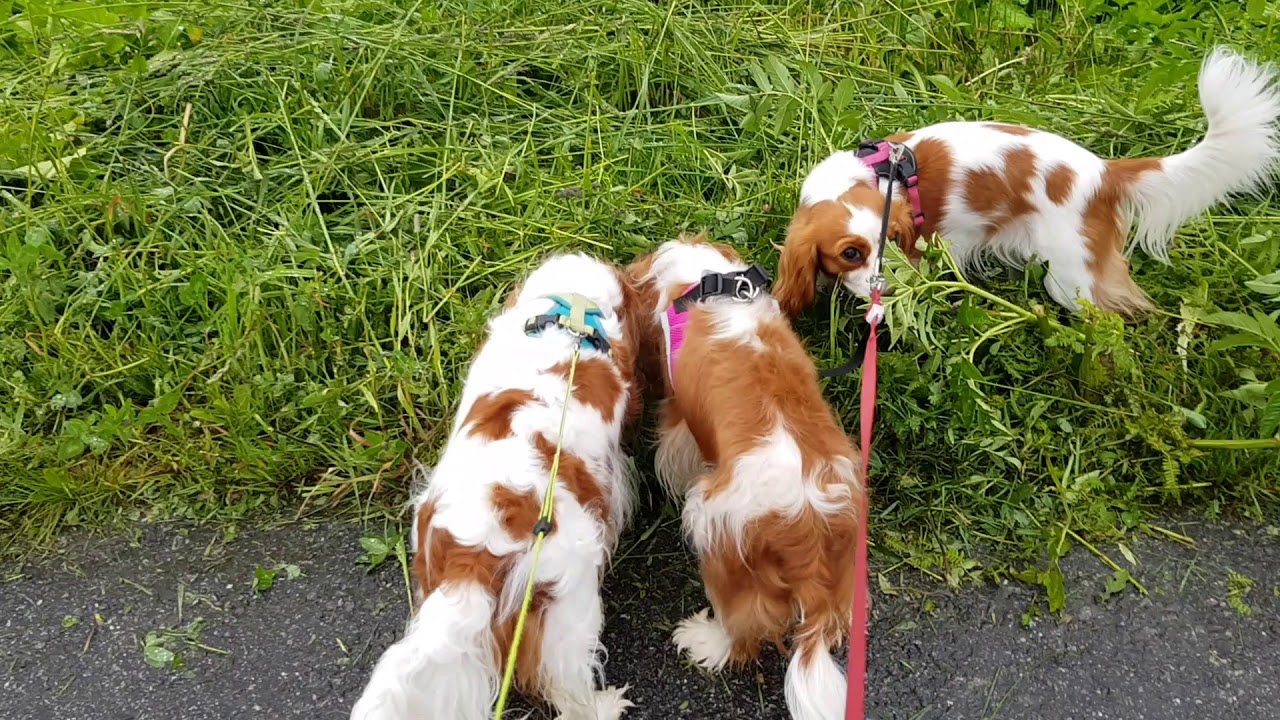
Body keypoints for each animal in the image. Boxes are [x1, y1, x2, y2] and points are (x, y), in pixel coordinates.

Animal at [627, 235, 865, 717]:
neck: (705, 282)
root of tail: (810, 531)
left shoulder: (679, 419)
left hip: (712, 525)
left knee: (743, 633)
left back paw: (704, 641)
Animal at [768, 47, 1280, 316]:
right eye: (850, 253)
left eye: (893, 239)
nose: (891, 287)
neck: (873, 177)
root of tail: (1105, 172)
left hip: (1071, 279)